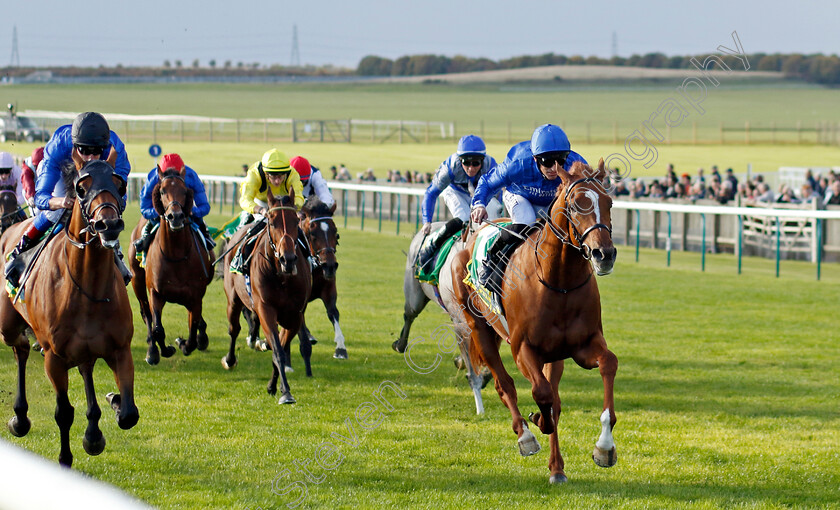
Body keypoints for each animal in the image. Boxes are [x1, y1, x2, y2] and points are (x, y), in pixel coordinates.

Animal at [0, 155, 136, 466]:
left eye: (120, 183)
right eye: (81, 188)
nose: (108, 224)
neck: (88, 286)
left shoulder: (120, 349)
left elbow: (128, 414)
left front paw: (111, 406)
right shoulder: (55, 358)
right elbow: (63, 412)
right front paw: (66, 457)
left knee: (85, 368)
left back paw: (94, 428)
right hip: (7, 325)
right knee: (20, 348)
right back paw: (19, 418)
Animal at [129, 165, 213, 364]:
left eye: (184, 191)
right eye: (161, 190)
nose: (175, 216)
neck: (176, 255)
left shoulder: (195, 296)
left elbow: (192, 333)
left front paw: (184, 342)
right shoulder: (156, 292)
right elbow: (157, 328)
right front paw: (165, 349)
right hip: (137, 281)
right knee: (146, 314)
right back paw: (152, 351)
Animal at [221, 189, 314, 404]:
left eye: (296, 221)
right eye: (271, 222)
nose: (288, 259)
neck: (282, 276)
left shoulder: (295, 316)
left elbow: (279, 347)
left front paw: (275, 386)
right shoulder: (265, 309)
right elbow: (278, 351)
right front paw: (286, 392)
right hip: (233, 299)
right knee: (233, 329)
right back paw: (230, 360)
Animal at [452, 158, 616, 482]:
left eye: (609, 202)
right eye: (576, 204)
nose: (604, 254)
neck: (559, 282)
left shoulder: (583, 345)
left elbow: (607, 364)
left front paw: (604, 447)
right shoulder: (523, 349)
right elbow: (540, 392)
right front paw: (536, 422)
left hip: (555, 354)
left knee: (553, 395)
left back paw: (557, 467)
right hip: (479, 327)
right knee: (505, 385)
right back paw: (526, 436)